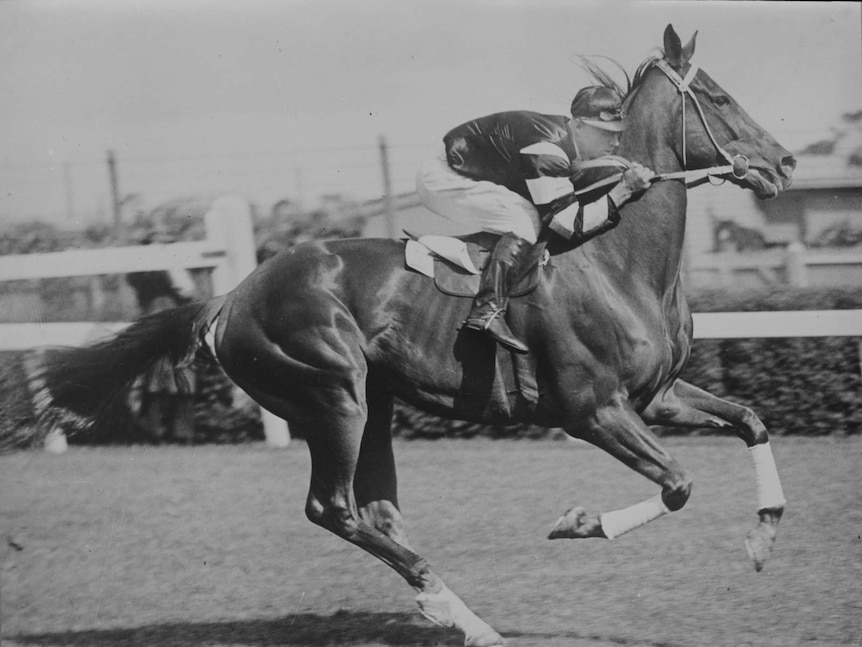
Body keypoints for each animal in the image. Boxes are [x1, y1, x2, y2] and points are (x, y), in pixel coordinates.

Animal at [33, 25, 796, 647]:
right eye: (721, 97)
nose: (785, 163)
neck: (619, 259)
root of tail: (229, 298)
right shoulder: (592, 410)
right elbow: (679, 485)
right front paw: (579, 520)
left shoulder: (656, 396)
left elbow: (751, 420)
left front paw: (763, 536)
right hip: (333, 396)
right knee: (332, 508)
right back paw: (451, 604)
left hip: (373, 404)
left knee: (379, 512)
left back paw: (454, 611)